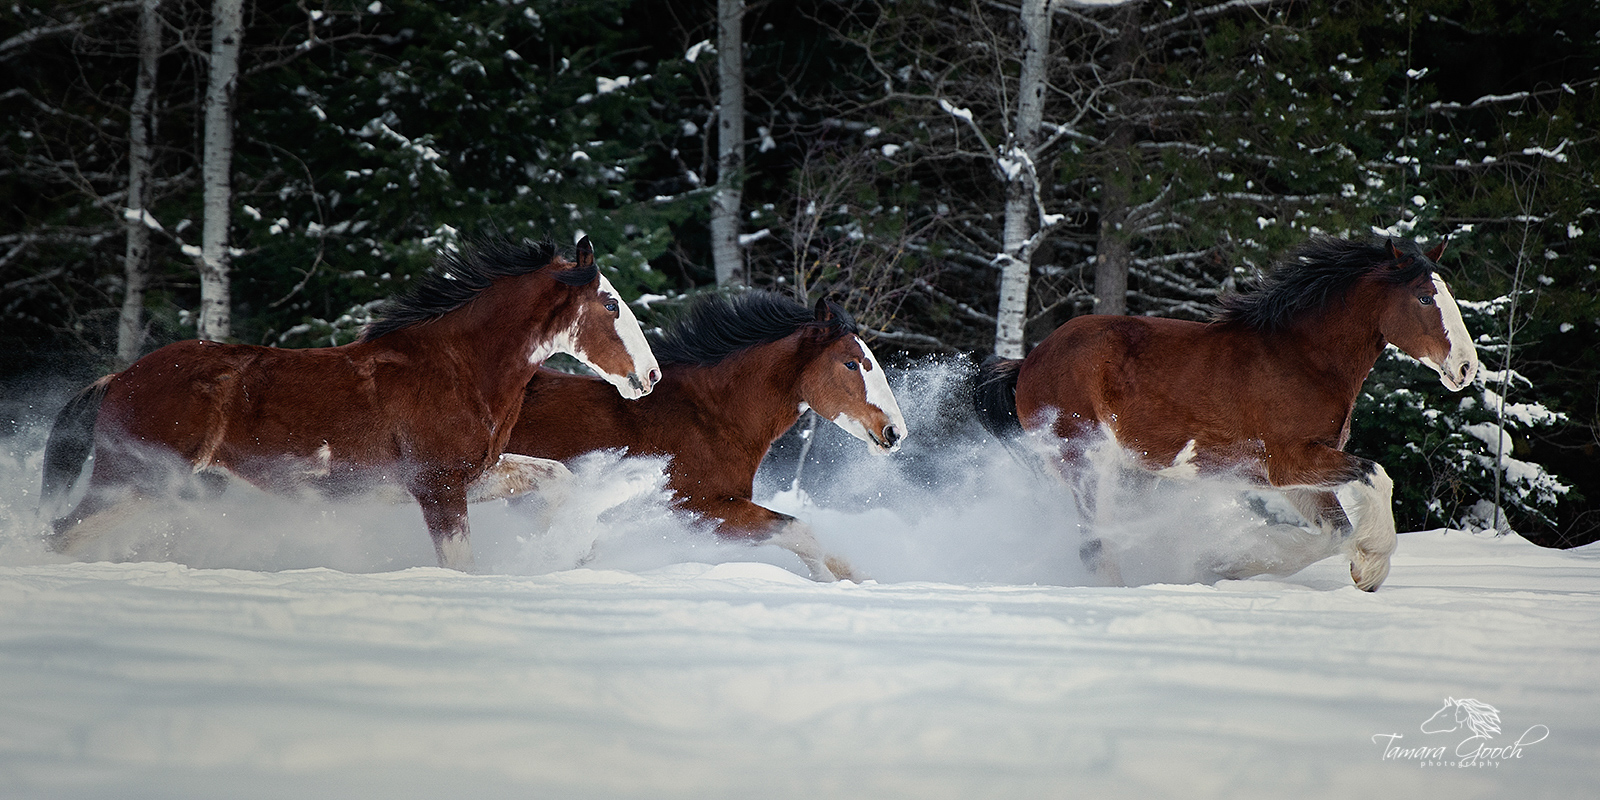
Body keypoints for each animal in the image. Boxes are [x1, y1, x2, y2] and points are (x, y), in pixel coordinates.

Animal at [40, 233, 659, 572]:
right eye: (609, 304)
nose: (649, 376)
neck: (457, 367)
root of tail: (120, 377)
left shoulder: (471, 474)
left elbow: (559, 477)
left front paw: (571, 548)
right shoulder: (437, 486)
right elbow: (461, 563)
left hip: (162, 487)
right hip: (131, 479)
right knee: (61, 531)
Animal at [979, 233, 1478, 592]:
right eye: (1424, 298)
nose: (1466, 368)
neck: (1303, 359)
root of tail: (1031, 361)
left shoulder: (1298, 476)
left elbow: (1334, 532)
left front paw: (1226, 565)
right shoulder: (1290, 462)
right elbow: (1377, 476)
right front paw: (1372, 564)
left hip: (1131, 471)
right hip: (1083, 462)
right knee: (1094, 545)